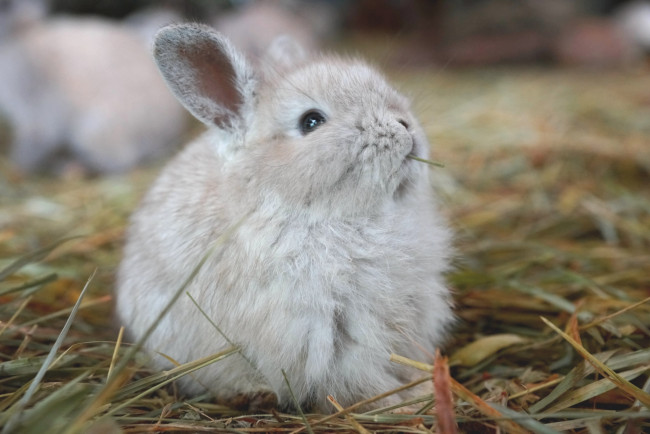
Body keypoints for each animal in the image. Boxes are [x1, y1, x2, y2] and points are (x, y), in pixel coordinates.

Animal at [115, 23, 450, 414]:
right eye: (311, 121)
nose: (404, 126)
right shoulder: (334, 341)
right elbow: (363, 382)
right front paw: (403, 404)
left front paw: (422, 390)